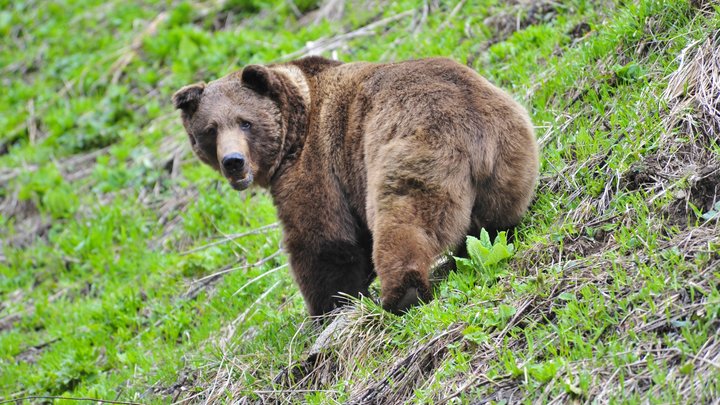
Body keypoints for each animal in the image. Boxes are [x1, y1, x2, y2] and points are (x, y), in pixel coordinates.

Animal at [172, 56, 536, 316]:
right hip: (512, 158)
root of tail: (475, 133)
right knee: (495, 221)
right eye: (210, 129)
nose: (233, 161)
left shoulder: (317, 166)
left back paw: (402, 294)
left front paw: (327, 308)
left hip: (409, 149)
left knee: (403, 218)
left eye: (245, 122)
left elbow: (323, 240)